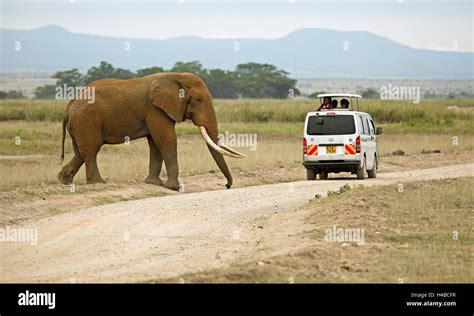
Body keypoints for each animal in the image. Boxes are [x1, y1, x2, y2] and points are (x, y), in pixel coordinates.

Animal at [56, 72, 244, 190]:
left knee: (80, 153)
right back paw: (98, 183)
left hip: (79, 125)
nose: (227, 186)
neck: (176, 76)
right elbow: (167, 139)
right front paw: (174, 187)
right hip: (87, 122)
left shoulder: (156, 111)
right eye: (198, 99)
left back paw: (64, 181)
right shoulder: (155, 109)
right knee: (91, 151)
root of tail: (69, 105)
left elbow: (155, 143)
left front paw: (153, 183)